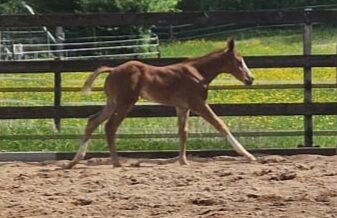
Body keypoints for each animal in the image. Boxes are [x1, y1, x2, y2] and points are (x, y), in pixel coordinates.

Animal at [63, 38, 255, 169]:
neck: (197, 72)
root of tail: (113, 69)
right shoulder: (198, 104)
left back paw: (74, 161)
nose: (250, 79)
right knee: (110, 126)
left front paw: (183, 161)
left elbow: (183, 132)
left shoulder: (182, 107)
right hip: (125, 103)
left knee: (93, 121)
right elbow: (220, 124)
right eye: (239, 61)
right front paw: (248, 155)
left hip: (112, 103)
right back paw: (116, 163)